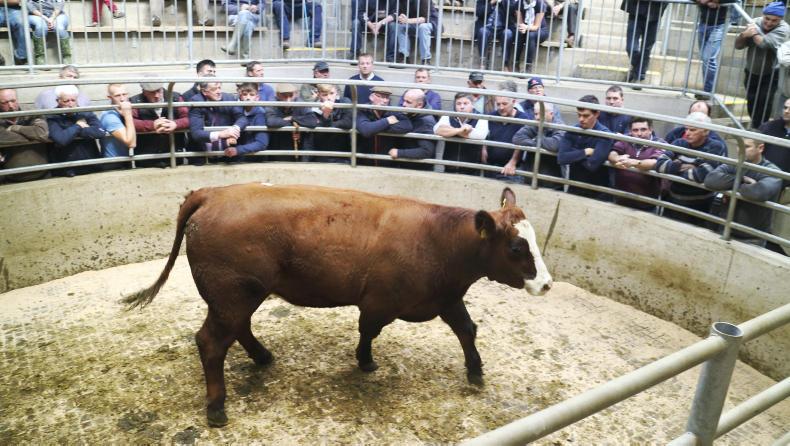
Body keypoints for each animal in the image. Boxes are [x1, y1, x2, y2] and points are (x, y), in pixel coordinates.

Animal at [123, 183, 552, 427]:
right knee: (212, 343)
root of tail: (211, 193)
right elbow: (369, 331)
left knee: (237, 330)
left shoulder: (446, 297)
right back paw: (216, 407)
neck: (438, 239)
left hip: (239, 295)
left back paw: (263, 356)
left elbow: (466, 330)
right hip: (232, 294)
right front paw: (365, 361)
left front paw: (476, 372)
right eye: (517, 247)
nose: (546, 284)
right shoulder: (379, 303)